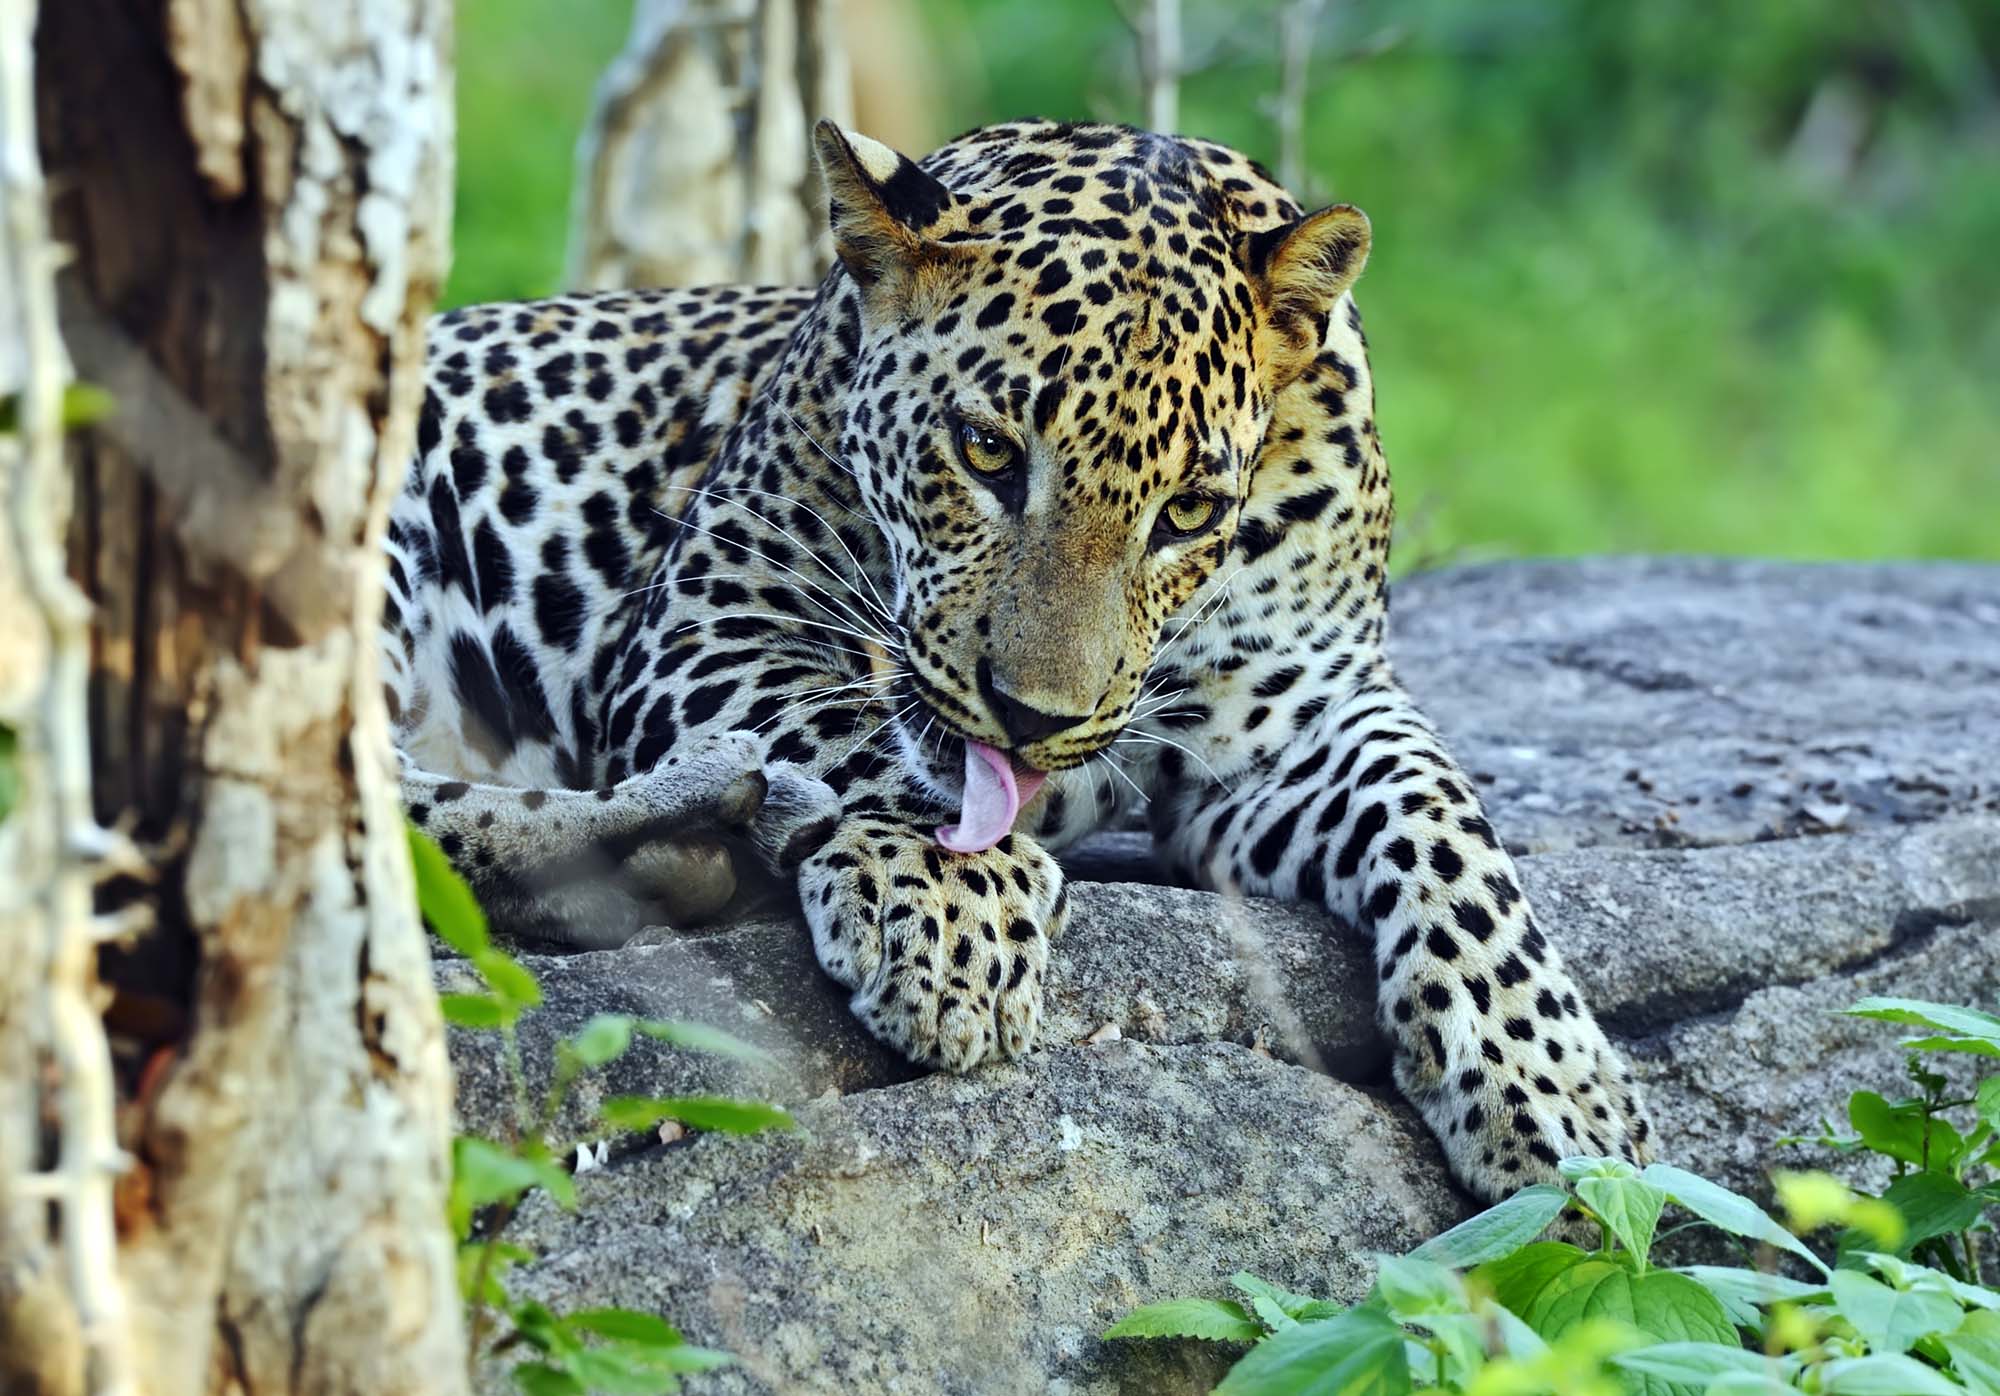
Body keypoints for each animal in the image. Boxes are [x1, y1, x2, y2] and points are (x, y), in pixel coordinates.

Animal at [383, 117, 1652, 1201]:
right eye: (986, 451)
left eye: (1189, 511)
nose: (1034, 714)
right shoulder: (714, 616)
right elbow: (865, 747)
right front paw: (953, 908)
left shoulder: (1299, 719)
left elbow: (1441, 823)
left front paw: (1558, 1093)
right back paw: (689, 826)